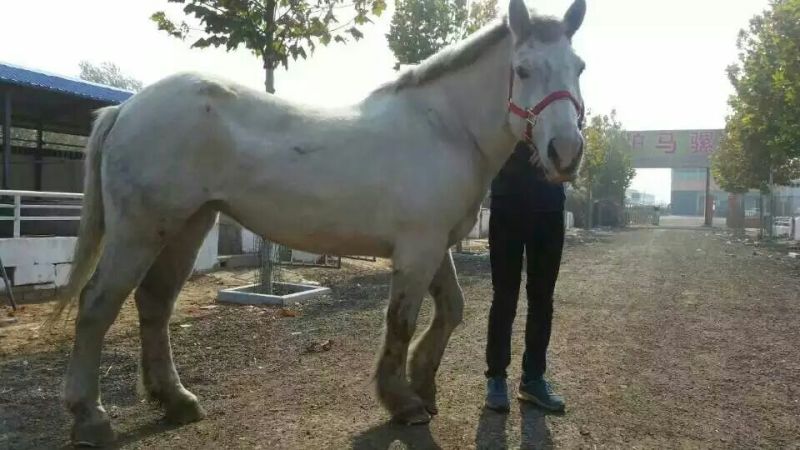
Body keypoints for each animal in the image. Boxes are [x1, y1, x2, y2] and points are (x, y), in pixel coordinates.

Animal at [50, 0, 586, 445]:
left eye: (579, 67)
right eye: (522, 69)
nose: (565, 153)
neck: (445, 129)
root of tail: (126, 108)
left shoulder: (436, 247)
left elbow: (451, 311)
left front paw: (424, 386)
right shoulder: (418, 251)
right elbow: (402, 320)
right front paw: (403, 402)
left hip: (186, 226)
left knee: (155, 304)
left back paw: (176, 401)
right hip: (141, 229)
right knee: (97, 304)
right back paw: (90, 417)